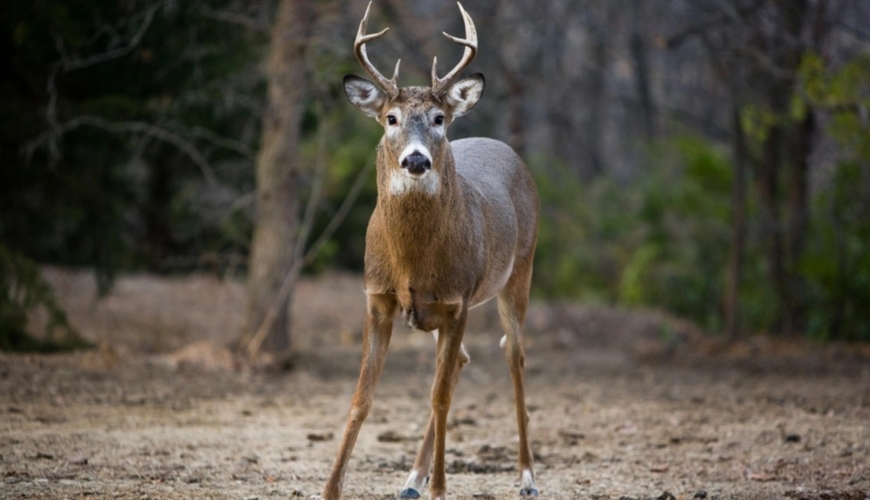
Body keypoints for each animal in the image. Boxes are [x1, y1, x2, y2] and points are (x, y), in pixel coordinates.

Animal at [320, 3, 539, 499]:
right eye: (390, 118)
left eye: (438, 118)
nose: (416, 160)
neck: (411, 263)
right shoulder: (376, 298)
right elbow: (361, 398)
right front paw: (330, 489)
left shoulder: (457, 301)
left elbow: (440, 398)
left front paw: (441, 488)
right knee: (462, 360)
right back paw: (411, 479)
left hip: (519, 272)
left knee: (513, 356)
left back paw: (526, 476)